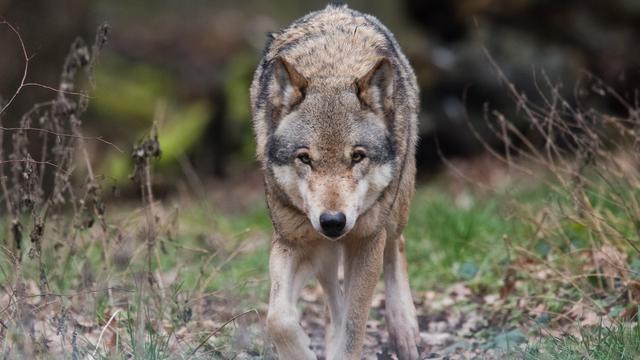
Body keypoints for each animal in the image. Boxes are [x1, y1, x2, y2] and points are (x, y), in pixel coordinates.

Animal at [249, 3, 420, 360]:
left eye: (357, 156)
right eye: (305, 158)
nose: (332, 221)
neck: (333, 69)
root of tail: (337, 8)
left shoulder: (366, 241)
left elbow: (354, 328)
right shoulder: (293, 240)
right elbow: (278, 318)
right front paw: (302, 350)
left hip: (393, 210)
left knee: (397, 245)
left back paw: (405, 330)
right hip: (323, 252)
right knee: (332, 300)